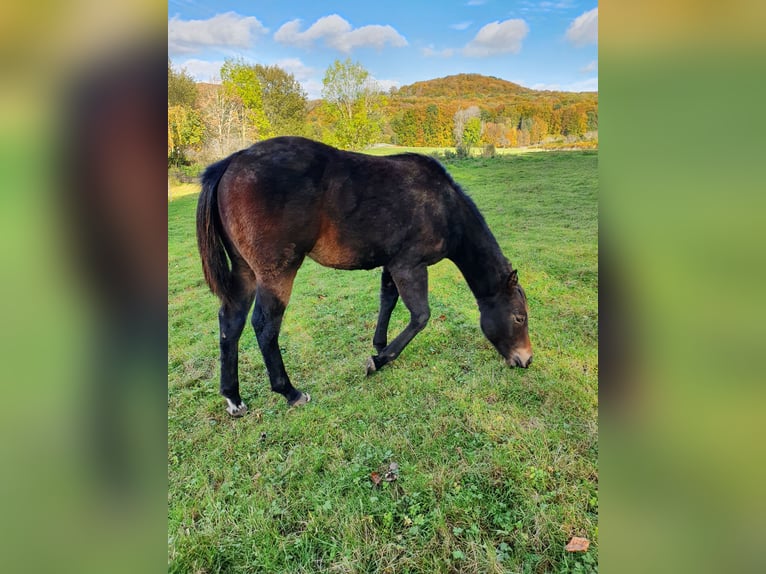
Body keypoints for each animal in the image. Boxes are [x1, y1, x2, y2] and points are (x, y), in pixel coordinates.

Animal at [198, 138, 536, 418]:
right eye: (519, 318)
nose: (526, 360)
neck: (443, 205)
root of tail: (231, 162)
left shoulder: (393, 264)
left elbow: (387, 300)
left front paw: (379, 345)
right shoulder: (410, 266)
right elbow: (420, 316)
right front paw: (380, 360)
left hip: (245, 270)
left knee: (231, 323)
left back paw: (233, 398)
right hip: (277, 273)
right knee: (265, 326)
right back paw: (290, 392)